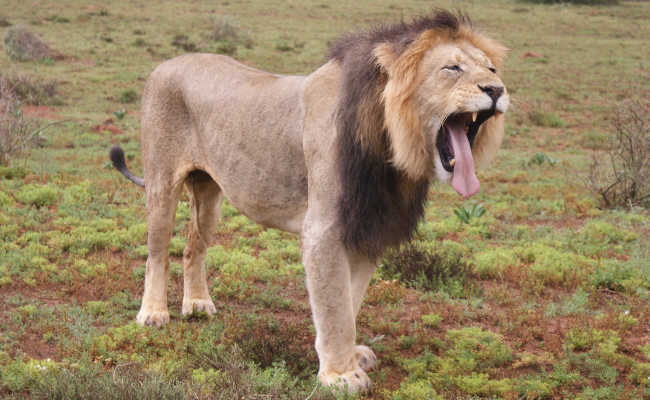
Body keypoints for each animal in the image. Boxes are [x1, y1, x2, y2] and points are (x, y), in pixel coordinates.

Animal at [109, 10, 508, 393]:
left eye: (490, 68)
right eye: (451, 68)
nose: (497, 89)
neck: (391, 146)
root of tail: (164, 64)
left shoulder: (367, 229)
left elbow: (350, 301)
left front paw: (351, 357)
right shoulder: (324, 231)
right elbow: (334, 308)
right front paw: (341, 376)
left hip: (209, 194)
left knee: (194, 246)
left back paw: (196, 305)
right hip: (162, 183)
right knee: (158, 251)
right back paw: (153, 314)